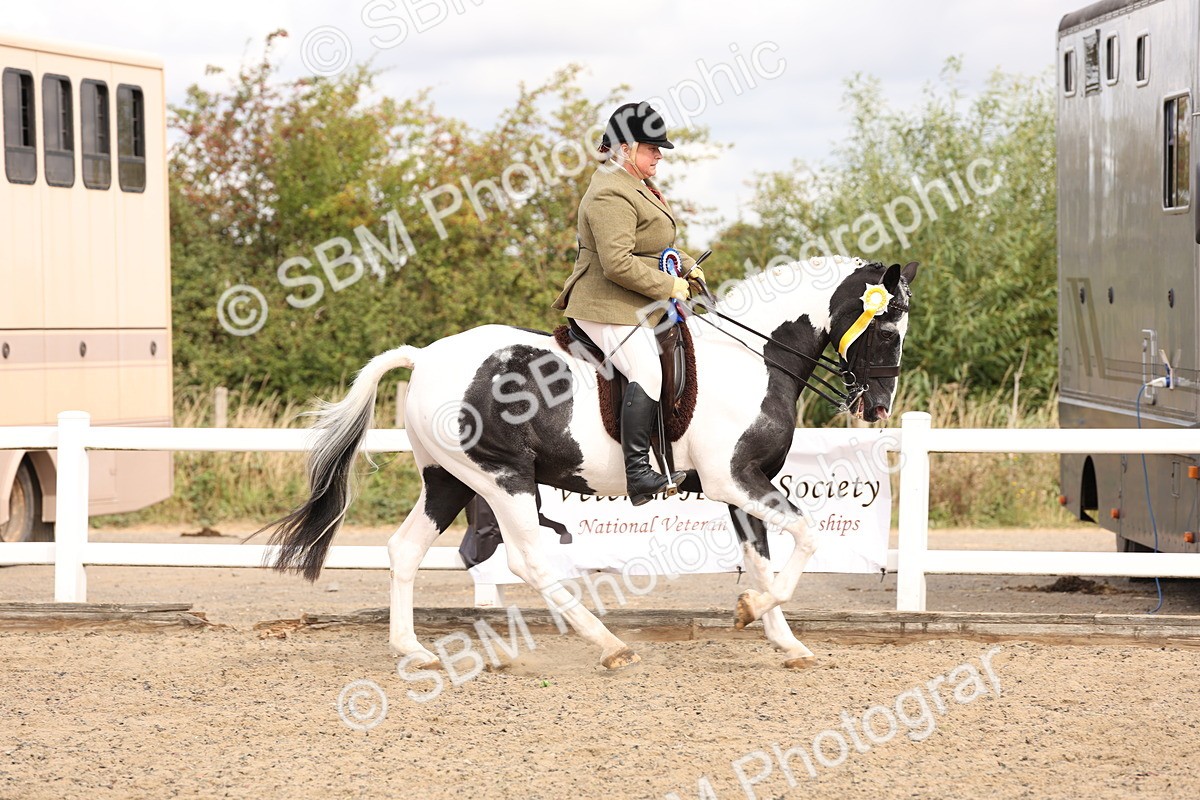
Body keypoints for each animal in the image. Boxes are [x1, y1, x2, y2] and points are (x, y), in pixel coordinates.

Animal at [265, 255, 918, 670]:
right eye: (888, 331)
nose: (878, 407)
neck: (753, 359)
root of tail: (425, 356)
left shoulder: (745, 486)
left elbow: (762, 561)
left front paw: (784, 641)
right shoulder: (735, 480)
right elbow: (806, 536)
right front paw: (755, 612)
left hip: (447, 479)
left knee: (404, 550)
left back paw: (414, 651)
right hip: (502, 478)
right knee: (529, 561)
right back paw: (608, 644)